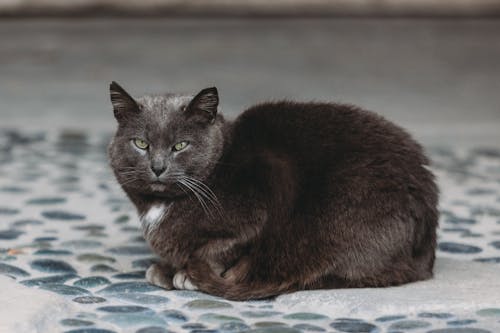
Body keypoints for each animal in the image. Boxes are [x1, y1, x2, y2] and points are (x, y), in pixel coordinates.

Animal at [108, 81, 438, 300]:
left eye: (180, 146)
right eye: (141, 144)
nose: (158, 166)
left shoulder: (264, 191)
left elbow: (220, 248)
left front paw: (186, 273)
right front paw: (166, 267)